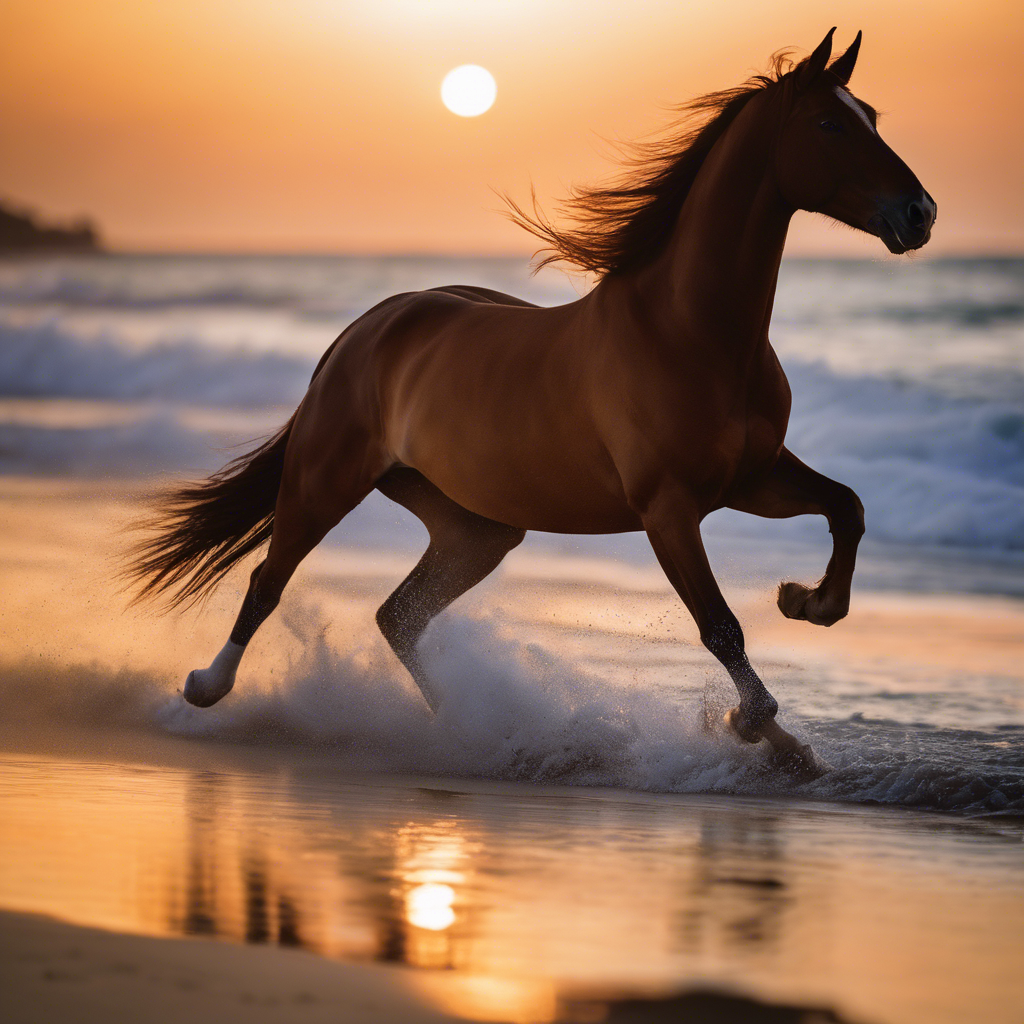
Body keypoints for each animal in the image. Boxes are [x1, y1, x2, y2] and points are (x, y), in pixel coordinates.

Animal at [128, 29, 935, 773]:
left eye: (869, 114)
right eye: (829, 124)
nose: (919, 212)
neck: (690, 332)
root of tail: (368, 327)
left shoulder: (750, 480)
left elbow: (848, 507)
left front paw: (806, 605)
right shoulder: (669, 508)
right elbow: (720, 627)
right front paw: (759, 725)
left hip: (477, 528)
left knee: (398, 616)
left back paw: (468, 730)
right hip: (325, 482)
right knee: (269, 582)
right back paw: (206, 687)